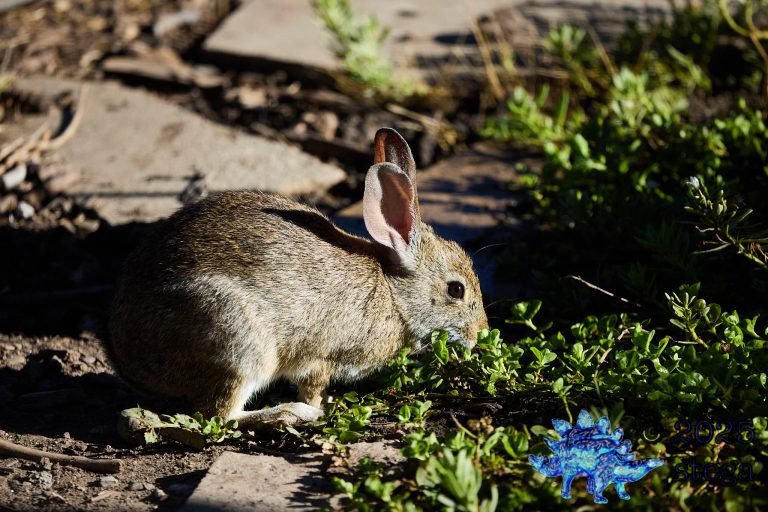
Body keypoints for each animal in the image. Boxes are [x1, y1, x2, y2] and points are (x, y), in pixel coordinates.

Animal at [107, 127, 488, 426]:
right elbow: (313, 385)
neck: (394, 295)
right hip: (237, 340)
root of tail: (130, 360)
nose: (480, 334)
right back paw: (290, 413)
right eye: (456, 290)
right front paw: (320, 406)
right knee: (219, 414)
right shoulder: (321, 356)